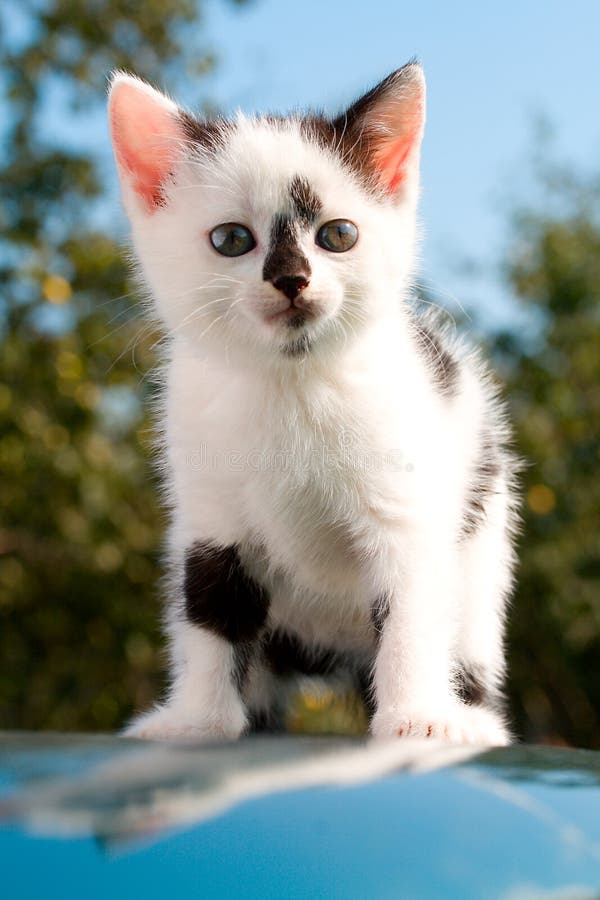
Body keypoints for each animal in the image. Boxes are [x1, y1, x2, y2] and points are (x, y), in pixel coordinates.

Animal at [109, 59, 520, 740]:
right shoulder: (210, 516)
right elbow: (211, 612)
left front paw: (417, 718)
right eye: (231, 239)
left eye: (339, 234)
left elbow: (410, 612)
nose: (291, 279)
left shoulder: (409, 507)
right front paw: (196, 721)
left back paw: (471, 717)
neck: (291, 387)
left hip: (483, 550)